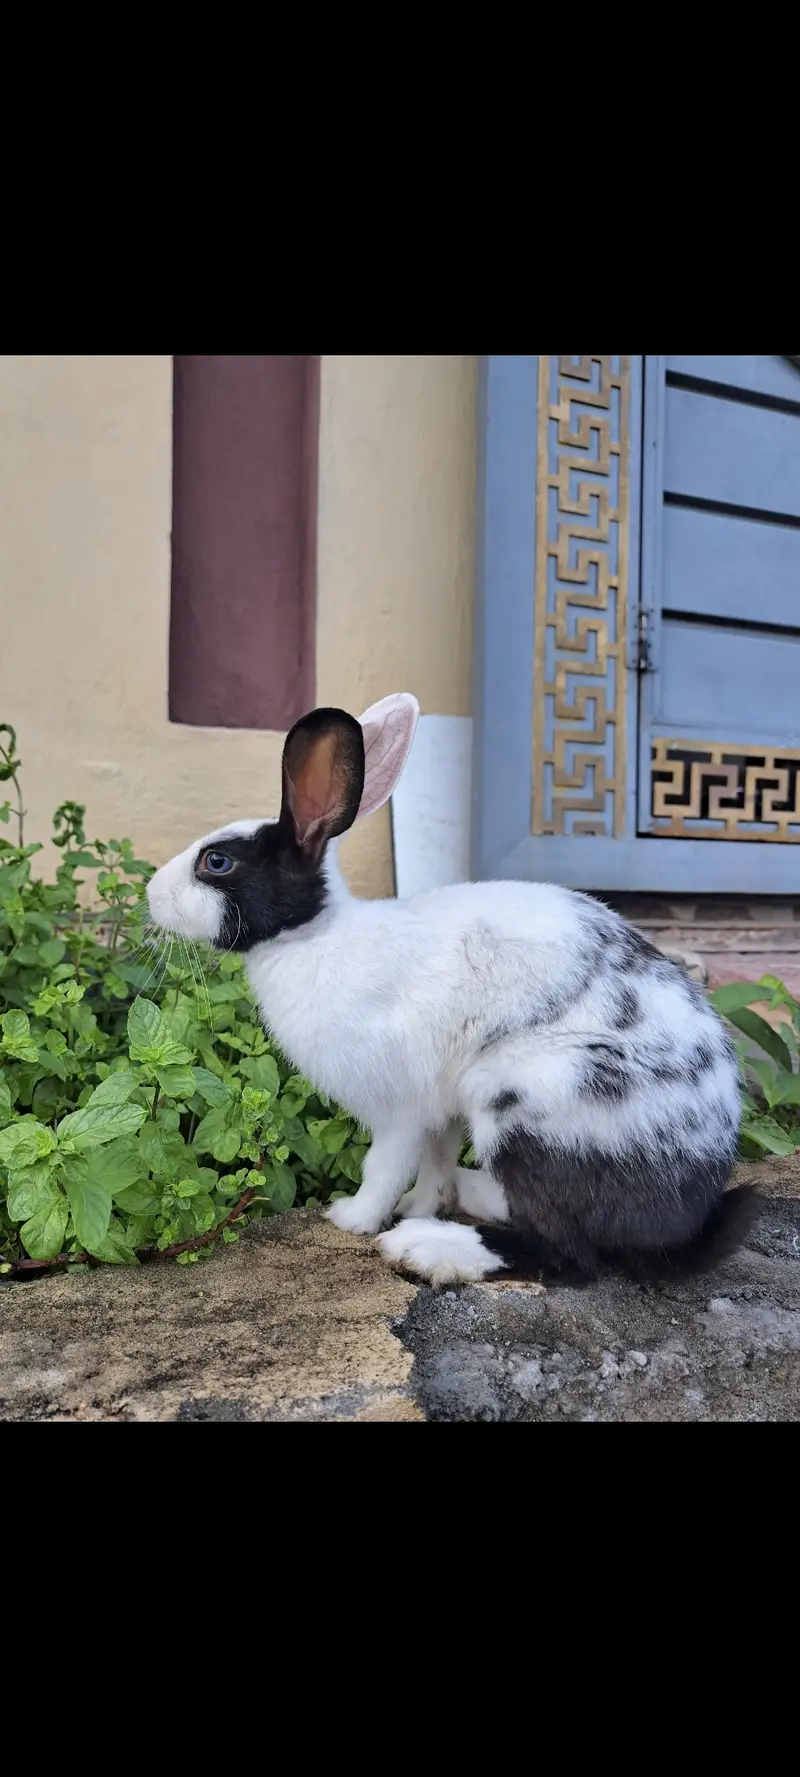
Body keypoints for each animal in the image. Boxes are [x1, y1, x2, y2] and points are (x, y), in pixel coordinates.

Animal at [146, 693, 755, 1287]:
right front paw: (422, 1203)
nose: (151, 893)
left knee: (568, 1255)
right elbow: (433, 1163)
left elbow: (384, 1166)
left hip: (521, 1100)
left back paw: (428, 1248)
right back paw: (465, 1199)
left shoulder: (399, 1109)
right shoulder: (439, 1110)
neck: (315, 934)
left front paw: (353, 1218)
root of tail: (683, 1216)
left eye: (217, 862)